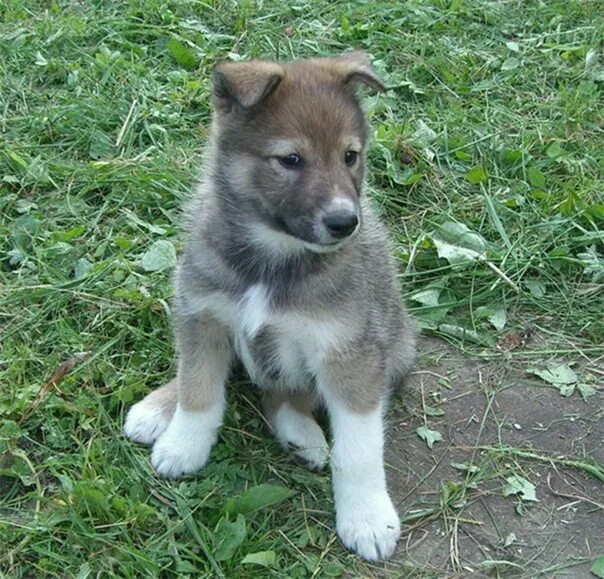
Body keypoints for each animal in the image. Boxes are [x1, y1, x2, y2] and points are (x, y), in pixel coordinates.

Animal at [122, 53, 416, 560]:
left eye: (350, 156)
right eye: (291, 160)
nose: (345, 222)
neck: (273, 259)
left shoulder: (348, 354)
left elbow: (359, 448)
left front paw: (367, 517)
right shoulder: (203, 316)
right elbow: (198, 388)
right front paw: (183, 443)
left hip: (392, 350)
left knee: (284, 395)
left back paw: (302, 435)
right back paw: (159, 408)